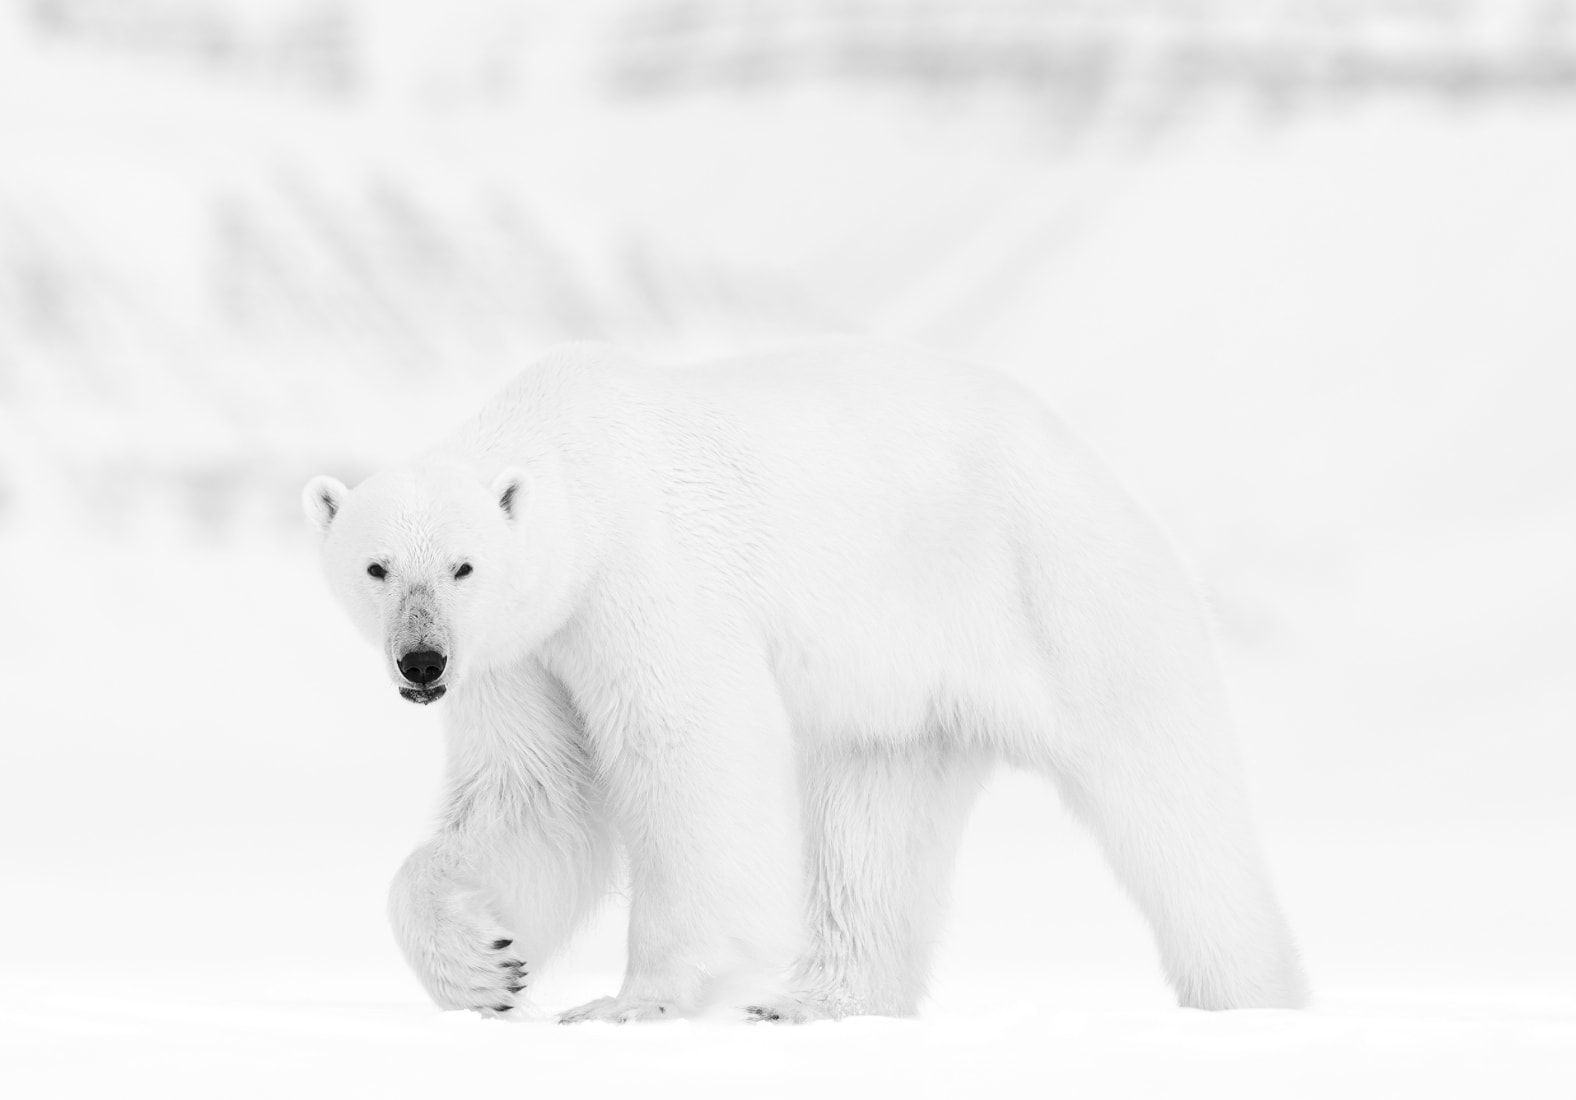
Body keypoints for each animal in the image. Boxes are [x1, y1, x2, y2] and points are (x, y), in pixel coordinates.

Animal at [302, 339, 1309, 1023]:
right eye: (377, 567)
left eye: (463, 566)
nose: (421, 663)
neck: (574, 460)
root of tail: (1094, 464)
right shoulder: (519, 654)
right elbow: (534, 794)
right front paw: (485, 962)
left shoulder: (643, 578)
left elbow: (689, 749)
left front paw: (632, 1002)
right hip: (906, 690)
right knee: (872, 823)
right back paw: (814, 1001)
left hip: (1062, 589)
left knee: (1166, 799)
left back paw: (1252, 995)